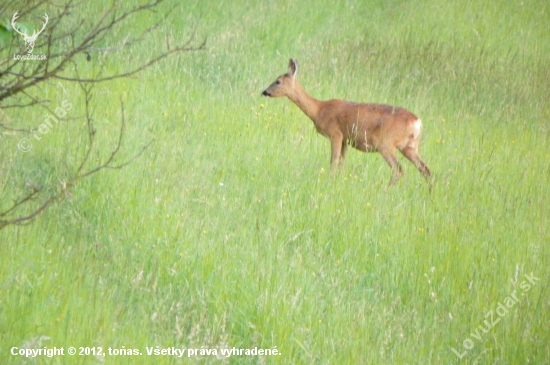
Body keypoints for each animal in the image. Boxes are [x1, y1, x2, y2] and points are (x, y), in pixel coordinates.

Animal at [260, 60, 434, 185]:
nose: (264, 91)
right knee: (426, 170)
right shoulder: (345, 139)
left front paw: (330, 182)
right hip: (410, 146)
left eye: (278, 81)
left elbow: (333, 162)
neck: (319, 110)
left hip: (386, 143)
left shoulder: (335, 134)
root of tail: (417, 121)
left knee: (399, 170)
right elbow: (343, 164)